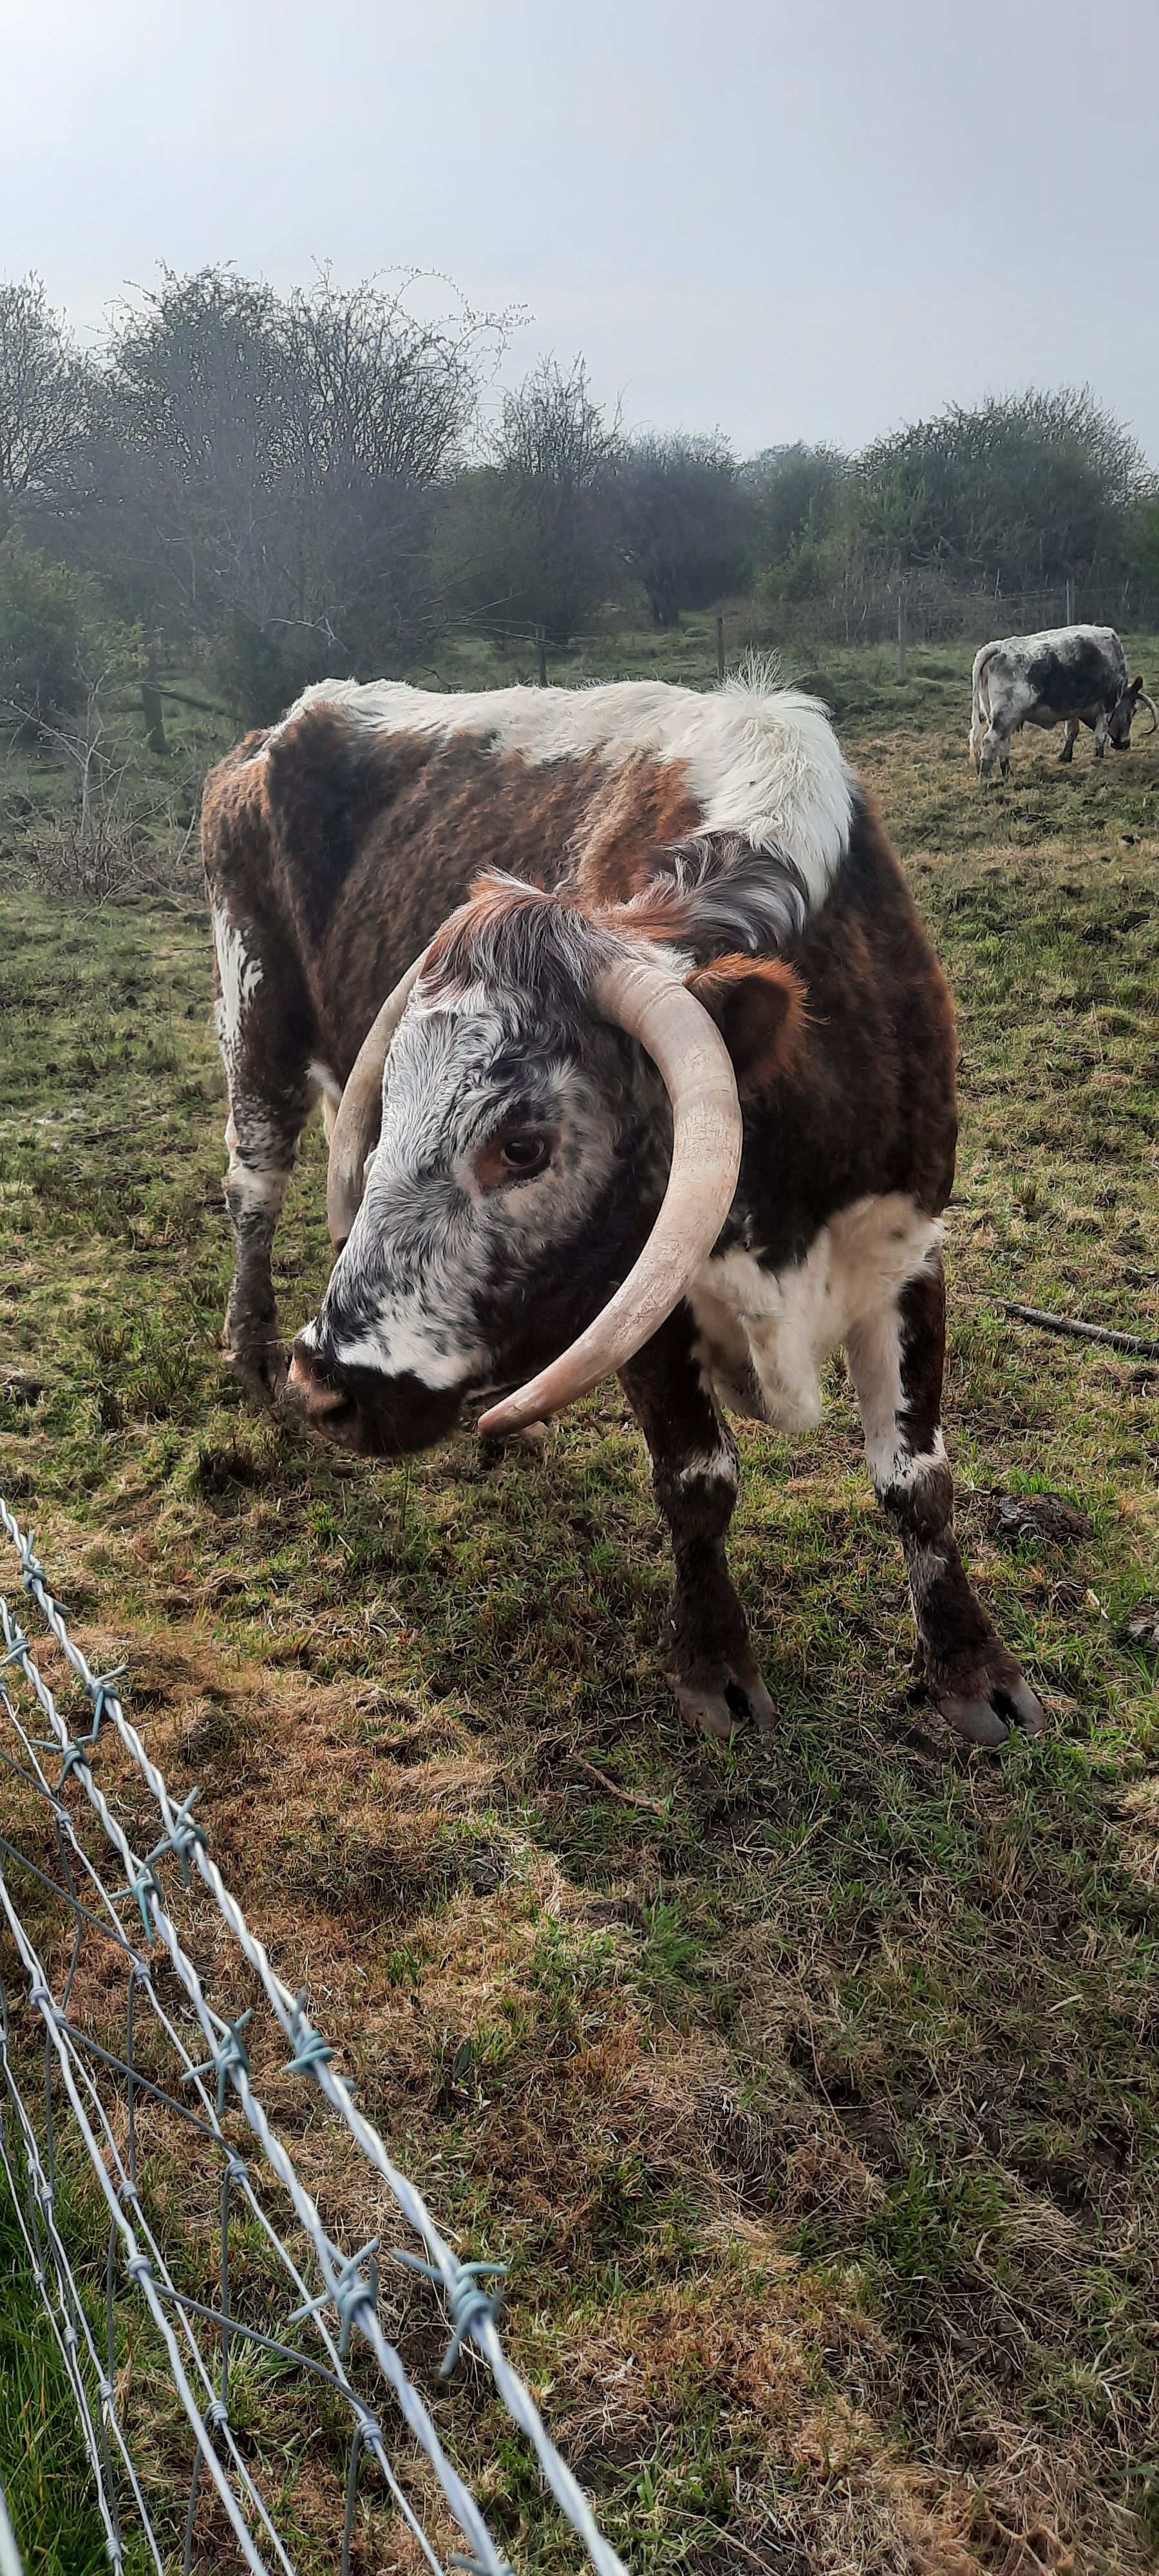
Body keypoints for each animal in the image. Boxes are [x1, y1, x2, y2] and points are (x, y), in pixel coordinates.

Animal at [202, 673, 1044, 1749]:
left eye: (524, 1145)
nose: (329, 1386)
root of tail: (280, 726)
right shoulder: (646, 1298)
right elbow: (697, 1481)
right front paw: (716, 1669)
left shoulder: (905, 1248)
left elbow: (918, 1478)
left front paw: (974, 1670)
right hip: (253, 1017)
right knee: (253, 1188)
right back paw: (251, 1349)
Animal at [970, 623, 1157, 781]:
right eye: (1134, 710)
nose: (1125, 744)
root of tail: (997, 648)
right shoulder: (1107, 708)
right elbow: (1100, 736)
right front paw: (1099, 759)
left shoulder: (1073, 709)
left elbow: (1072, 732)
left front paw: (1066, 756)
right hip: (1006, 715)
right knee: (990, 740)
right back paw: (985, 777)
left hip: (1002, 717)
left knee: (1003, 741)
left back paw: (1008, 772)